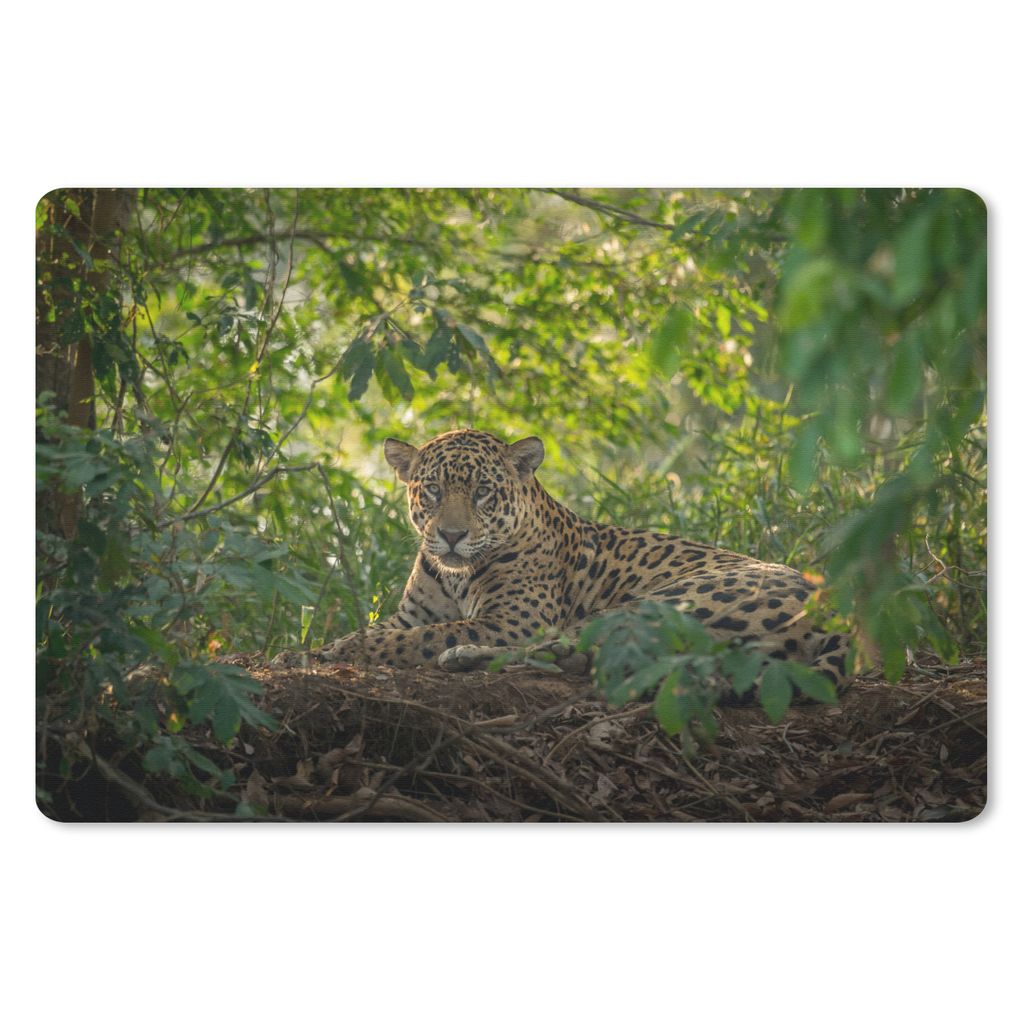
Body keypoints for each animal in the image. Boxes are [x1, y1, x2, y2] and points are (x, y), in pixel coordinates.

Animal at [277, 428, 849, 693]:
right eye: (434, 490)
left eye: (483, 492)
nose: (452, 535)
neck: (456, 577)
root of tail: (832, 612)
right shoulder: (410, 613)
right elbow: (388, 628)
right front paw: (304, 651)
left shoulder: (512, 619)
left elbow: (414, 638)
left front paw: (335, 652)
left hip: (662, 603)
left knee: (563, 649)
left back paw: (462, 655)